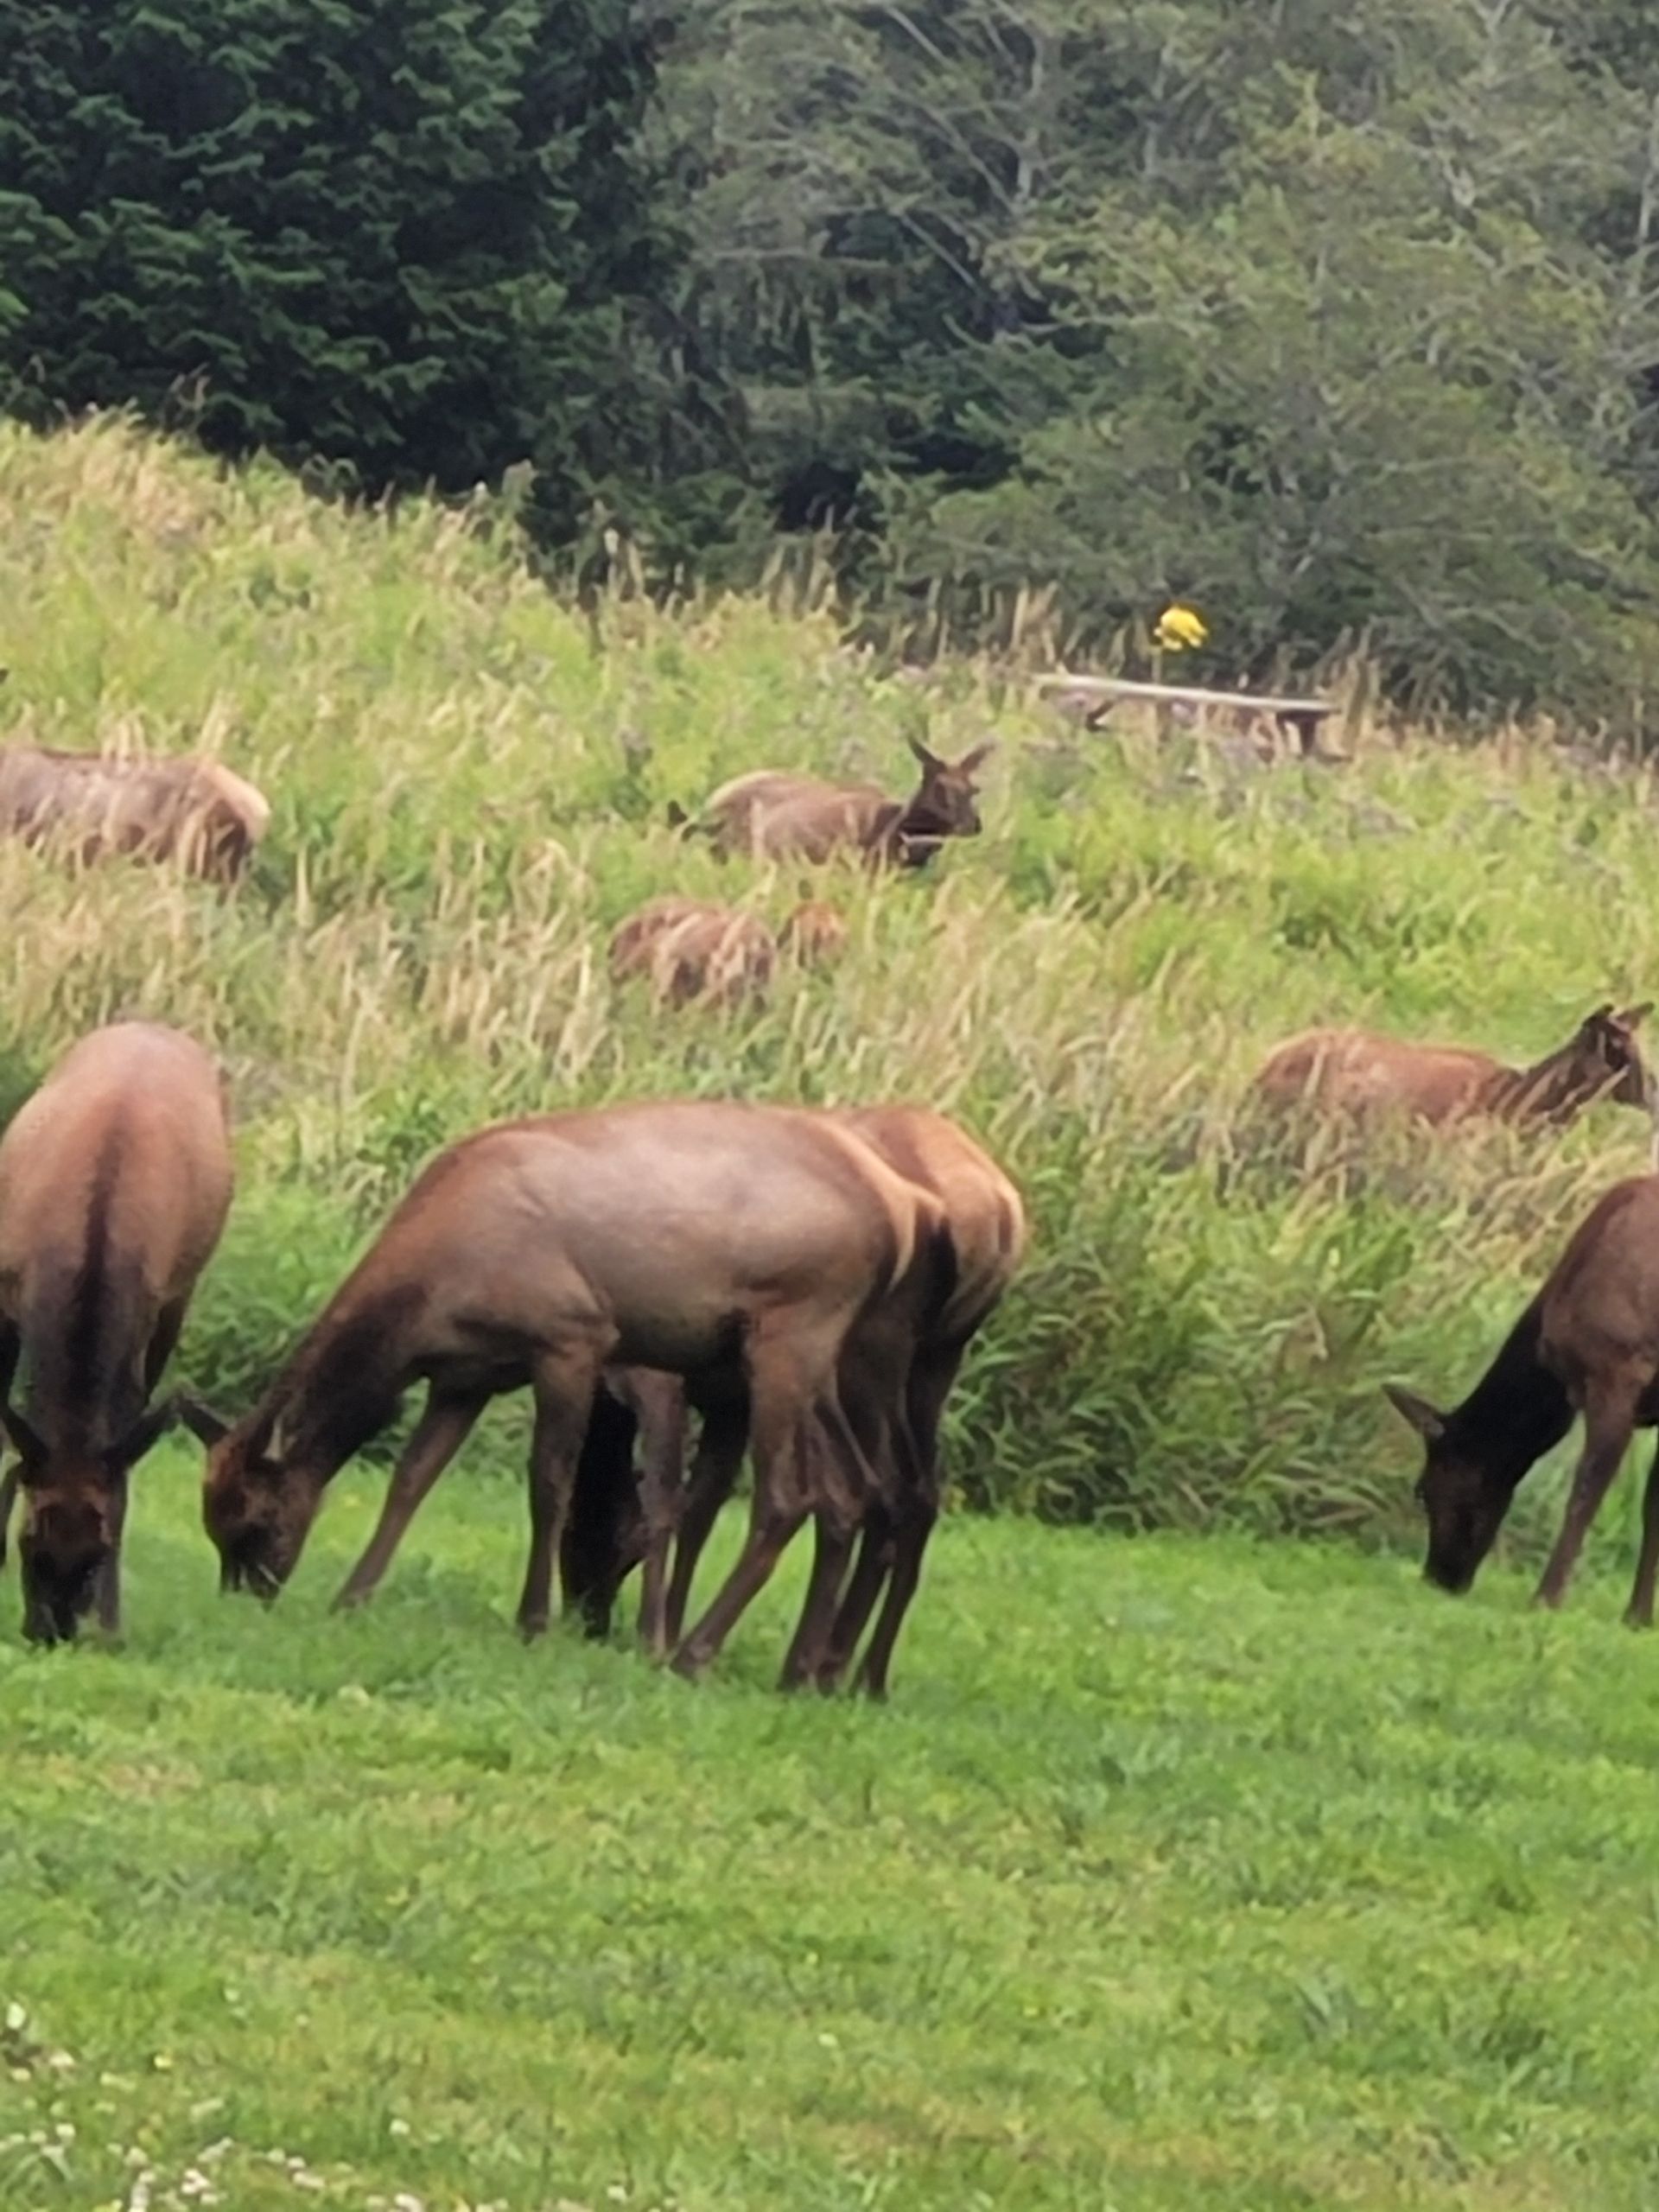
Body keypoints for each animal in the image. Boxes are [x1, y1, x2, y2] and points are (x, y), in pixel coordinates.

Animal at [0, 1022, 234, 1643]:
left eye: (98, 1553)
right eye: (29, 1542)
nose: (51, 1631)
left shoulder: (144, 1317)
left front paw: (111, 1621)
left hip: (181, 1295)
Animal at [179, 1100, 951, 1685]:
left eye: (259, 1520)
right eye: (212, 1521)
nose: (248, 1595)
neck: (430, 1296)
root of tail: (909, 1206)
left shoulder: (571, 1339)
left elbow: (549, 1483)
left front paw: (534, 1620)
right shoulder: (464, 1377)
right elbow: (412, 1478)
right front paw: (352, 1595)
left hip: (792, 1331)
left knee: (791, 1494)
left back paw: (696, 1652)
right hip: (829, 1359)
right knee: (854, 1490)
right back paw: (799, 1671)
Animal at [1384, 1176, 1659, 1624]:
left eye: (1423, 1490)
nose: (1437, 1576)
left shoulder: (1618, 1370)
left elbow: (1585, 1494)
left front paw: (1547, 1598)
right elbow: (1652, 1503)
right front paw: (1638, 1617)